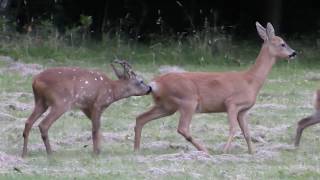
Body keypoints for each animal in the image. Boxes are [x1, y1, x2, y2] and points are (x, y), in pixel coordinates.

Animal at [21, 59, 151, 157]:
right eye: (141, 81)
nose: (149, 88)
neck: (112, 90)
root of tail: (35, 81)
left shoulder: (86, 107)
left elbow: (98, 128)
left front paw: (99, 150)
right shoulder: (98, 104)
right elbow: (95, 129)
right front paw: (96, 152)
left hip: (40, 101)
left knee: (28, 122)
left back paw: (24, 153)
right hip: (61, 102)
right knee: (43, 124)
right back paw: (50, 153)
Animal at [134, 22, 296, 155]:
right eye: (282, 44)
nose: (294, 53)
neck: (251, 81)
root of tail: (155, 83)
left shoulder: (243, 110)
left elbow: (247, 132)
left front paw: (252, 152)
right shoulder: (232, 103)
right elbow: (233, 128)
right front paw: (225, 151)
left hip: (166, 106)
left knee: (141, 118)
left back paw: (136, 149)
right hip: (188, 100)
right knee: (182, 128)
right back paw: (205, 150)